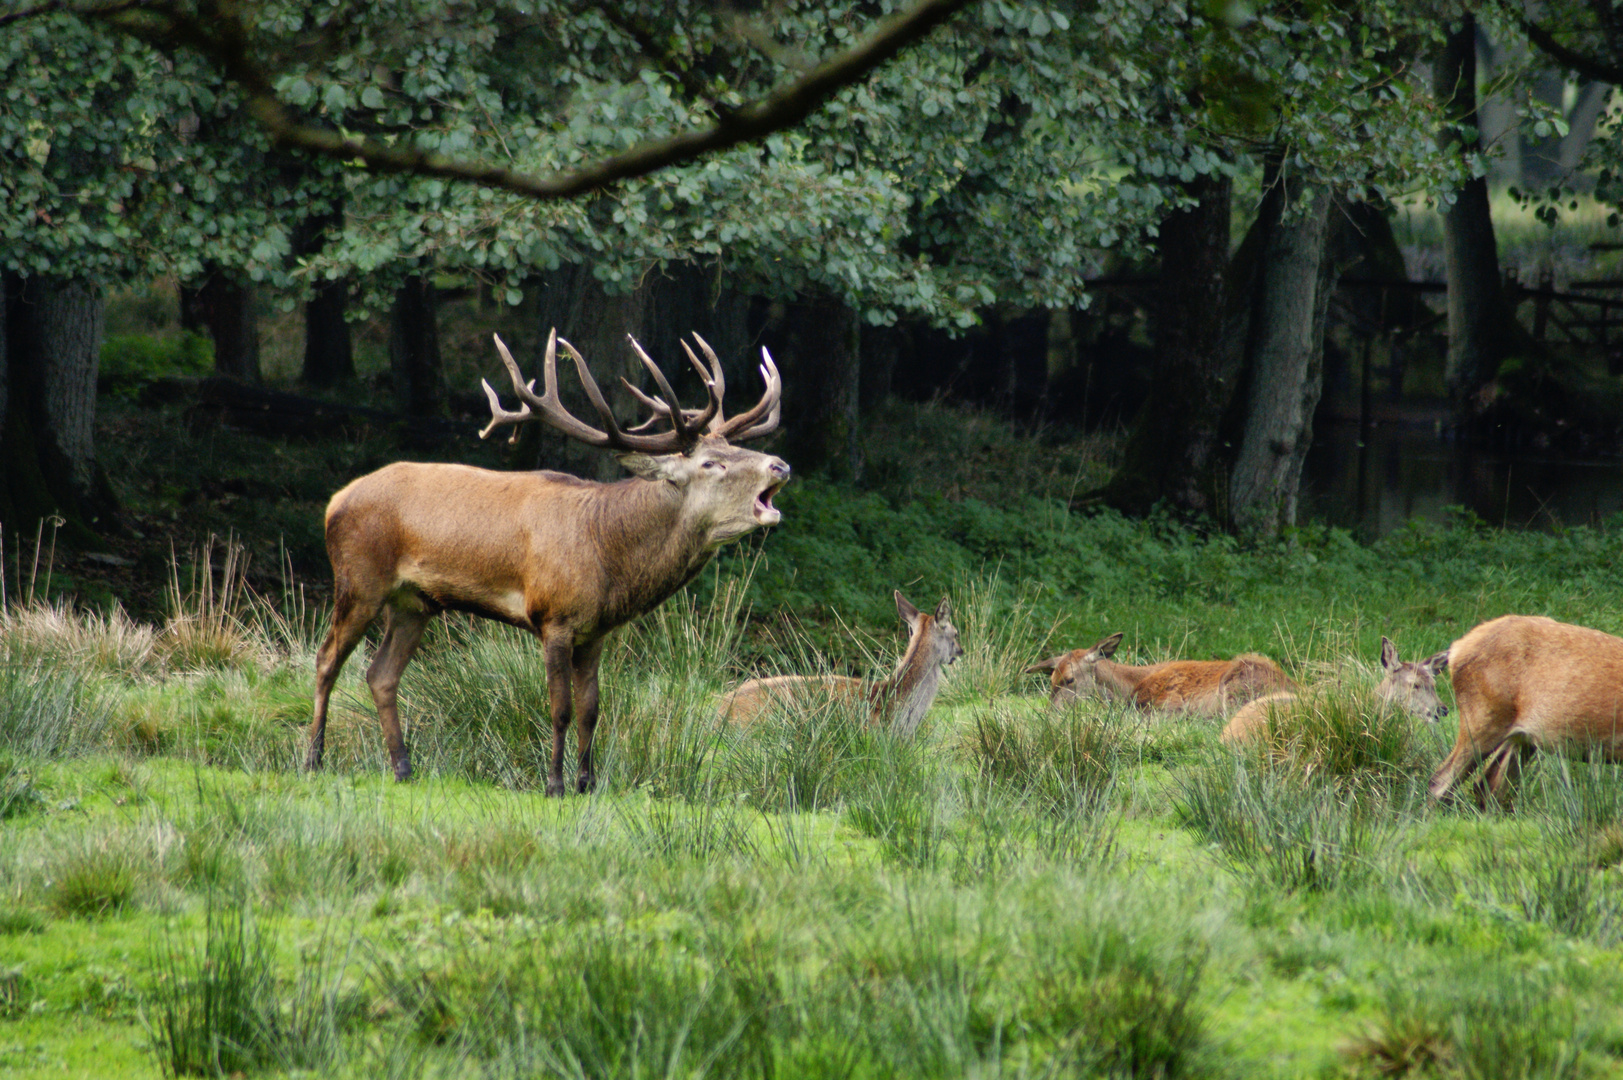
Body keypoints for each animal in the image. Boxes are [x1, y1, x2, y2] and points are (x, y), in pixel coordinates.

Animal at [306, 332, 788, 795]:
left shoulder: (596, 632)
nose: (780, 465)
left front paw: (587, 784)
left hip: (414, 602)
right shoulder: (553, 616)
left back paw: (403, 769)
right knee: (327, 659)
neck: (609, 556)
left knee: (381, 674)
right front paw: (554, 784)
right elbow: (560, 709)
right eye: (712, 462)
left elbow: (592, 710)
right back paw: (314, 759)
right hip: (358, 579)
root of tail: (334, 502)